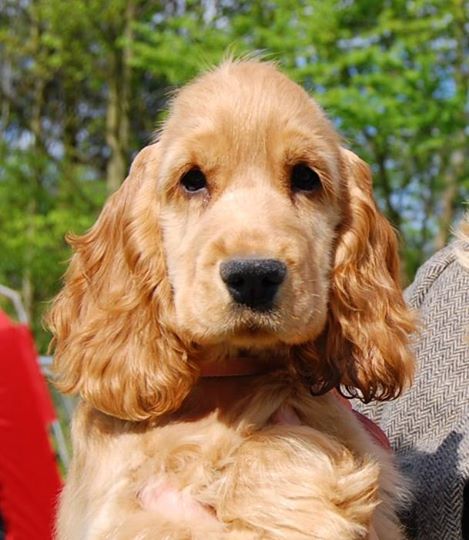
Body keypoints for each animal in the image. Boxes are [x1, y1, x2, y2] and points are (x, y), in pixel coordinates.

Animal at [48, 60, 415, 539]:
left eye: (305, 177)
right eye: (192, 180)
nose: (254, 276)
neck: (227, 381)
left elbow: (275, 446)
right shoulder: (123, 511)